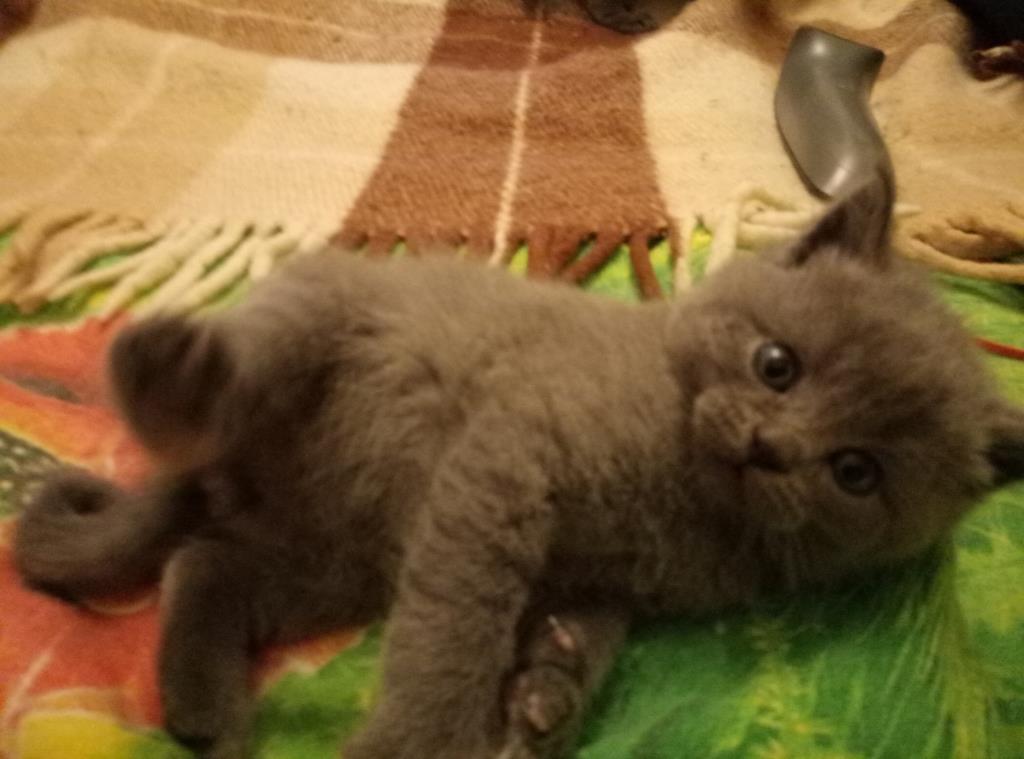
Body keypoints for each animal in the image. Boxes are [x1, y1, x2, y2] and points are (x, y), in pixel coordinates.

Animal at [14, 178, 1024, 759]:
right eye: (777, 365)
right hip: (315, 315)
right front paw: (419, 742)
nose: (768, 447)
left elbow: (579, 636)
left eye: (856, 472)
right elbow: (457, 627)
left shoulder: (603, 581)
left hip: (334, 563)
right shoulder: (504, 462)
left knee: (203, 563)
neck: (690, 494)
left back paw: (206, 711)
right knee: (224, 380)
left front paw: (546, 698)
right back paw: (174, 375)